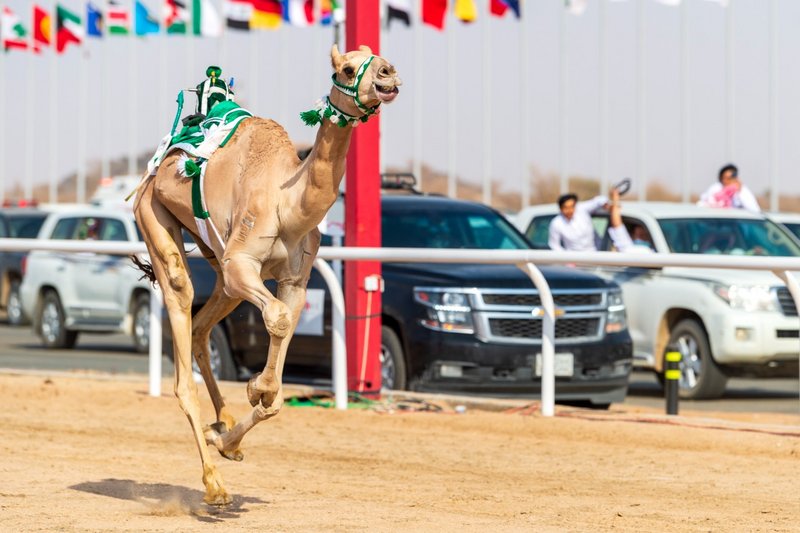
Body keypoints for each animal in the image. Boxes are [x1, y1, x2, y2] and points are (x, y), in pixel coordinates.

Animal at [134, 44, 404, 502]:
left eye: (379, 59)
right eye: (347, 69)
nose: (387, 74)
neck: (287, 202)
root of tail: (157, 167)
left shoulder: (294, 279)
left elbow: (277, 380)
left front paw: (233, 429)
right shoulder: (242, 262)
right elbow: (275, 320)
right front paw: (252, 393)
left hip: (220, 268)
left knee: (202, 329)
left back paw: (222, 425)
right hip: (154, 215)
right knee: (180, 302)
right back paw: (214, 485)